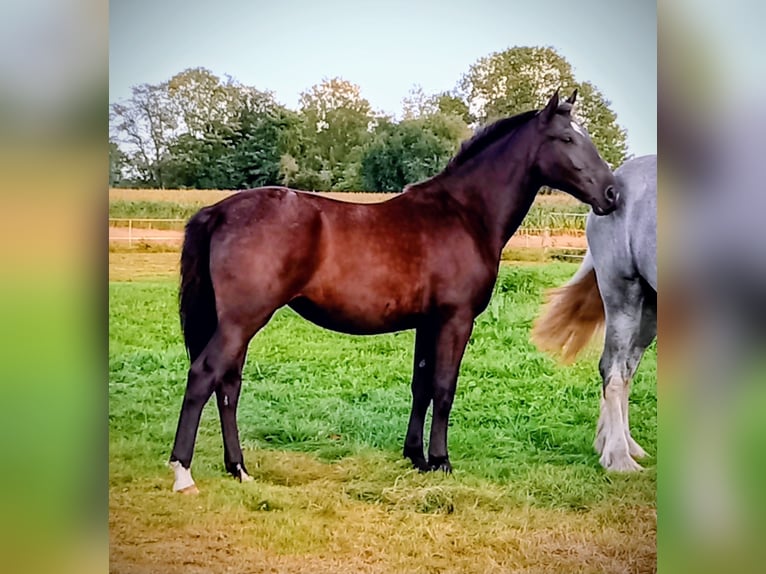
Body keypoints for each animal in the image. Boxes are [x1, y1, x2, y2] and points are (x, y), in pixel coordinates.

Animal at [168, 89, 619, 493]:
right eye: (566, 139)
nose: (612, 193)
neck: (464, 214)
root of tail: (219, 211)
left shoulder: (427, 323)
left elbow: (421, 385)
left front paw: (415, 456)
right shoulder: (455, 320)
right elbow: (444, 388)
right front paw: (441, 460)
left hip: (238, 325)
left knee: (228, 386)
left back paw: (239, 469)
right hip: (242, 321)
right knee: (204, 376)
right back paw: (183, 473)